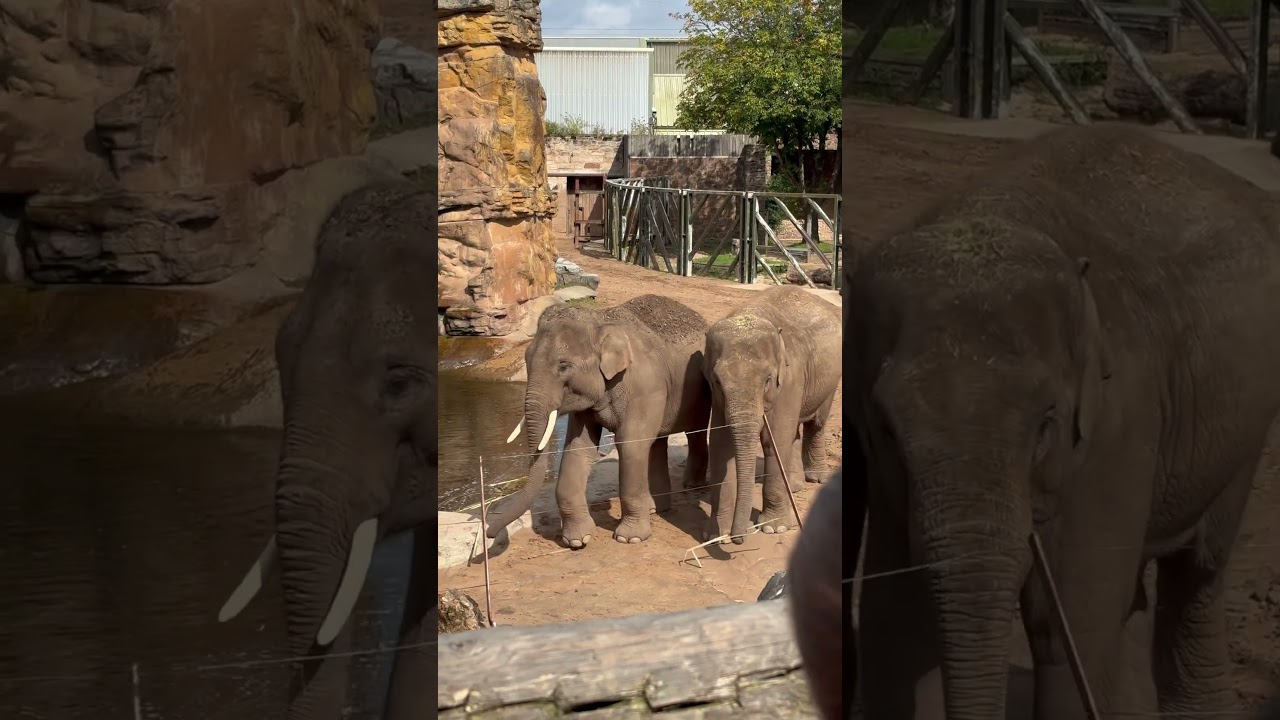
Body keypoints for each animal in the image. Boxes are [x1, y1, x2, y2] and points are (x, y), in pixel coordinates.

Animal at [485, 294, 712, 547]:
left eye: (563, 366)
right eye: (526, 359)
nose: (490, 534)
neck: (600, 321)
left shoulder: (645, 387)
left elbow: (631, 445)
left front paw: (629, 538)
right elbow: (578, 447)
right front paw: (577, 540)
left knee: (695, 431)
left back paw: (692, 486)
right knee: (657, 443)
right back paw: (655, 509)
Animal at [702, 285, 841, 543]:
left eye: (767, 380)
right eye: (717, 381)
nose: (739, 537)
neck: (749, 315)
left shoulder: (790, 377)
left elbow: (773, 439)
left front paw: (773, 528)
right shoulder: (717, 397)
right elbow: (720, 443)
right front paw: (717, 534)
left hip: (831, 378)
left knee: (817, 423)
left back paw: (817, 479)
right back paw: (794, 487)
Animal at [847, 124, 1280, 720]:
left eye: (1047, 421)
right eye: (886, 427)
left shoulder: (1120, 421)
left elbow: (1068, 625)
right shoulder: (886, 477)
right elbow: (895, 623)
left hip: (1242, 429)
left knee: (1198, 571)